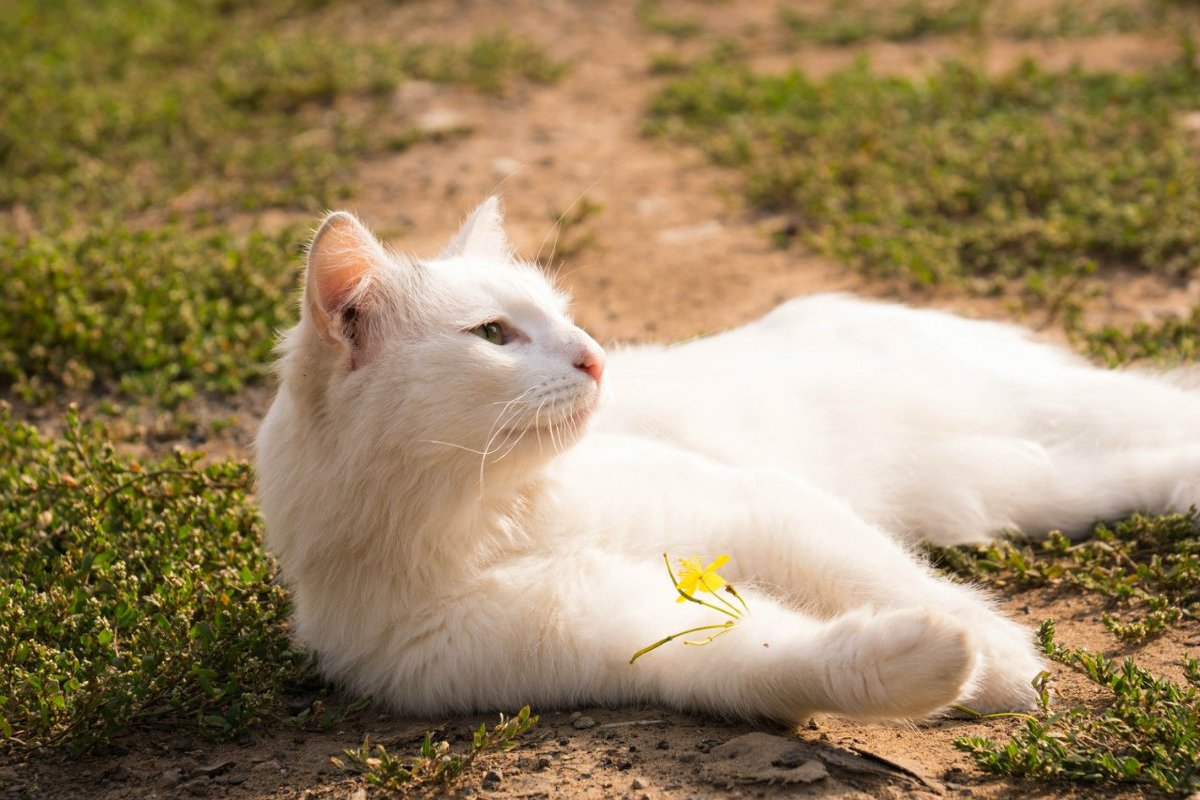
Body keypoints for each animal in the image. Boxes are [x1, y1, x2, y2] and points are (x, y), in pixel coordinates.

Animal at [255, 196, 1200, 724]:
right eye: (494, 335)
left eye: (563, 314)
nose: (597, 358)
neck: (490, 520)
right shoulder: (620, 637)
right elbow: (777, 662)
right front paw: (933, 665)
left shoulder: (760, 505)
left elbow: (888, 580)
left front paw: (1002, 661)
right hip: (1027, 484)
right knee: (1138, 465)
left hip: (1044, 420)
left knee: (1164, 402)